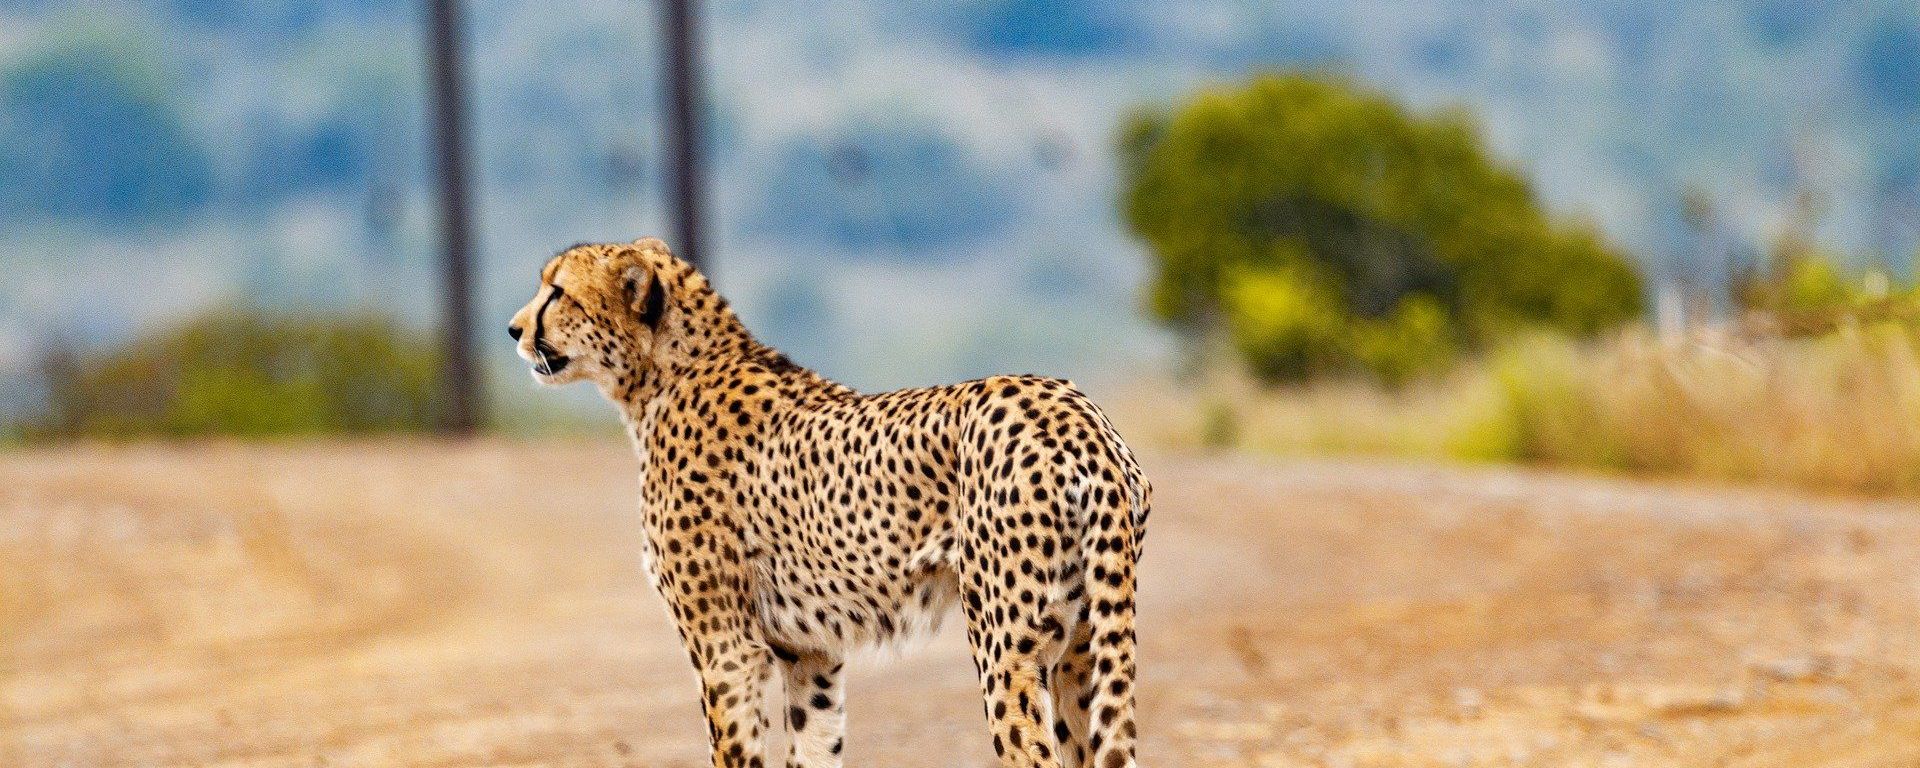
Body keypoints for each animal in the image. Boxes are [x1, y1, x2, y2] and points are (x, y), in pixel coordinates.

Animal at [508, 239, 1150, 768]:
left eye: (557, 290)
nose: (514, 329)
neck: (661, 377)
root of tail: (1077, 414)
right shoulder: (809, 652)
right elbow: (814, 747)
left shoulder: (726, 649)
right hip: (1081, 647)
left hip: (1008, 649)